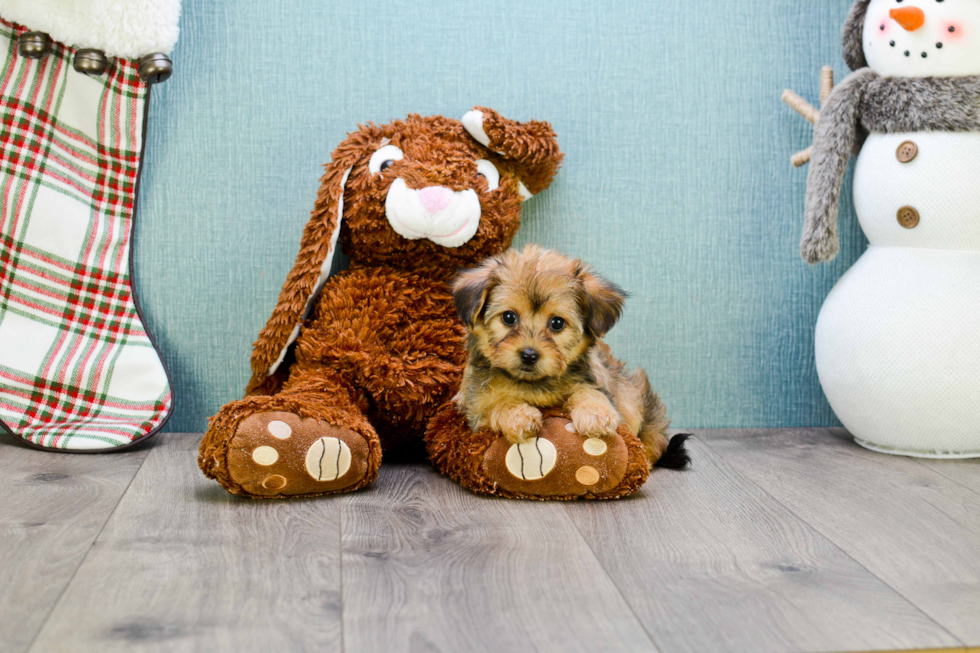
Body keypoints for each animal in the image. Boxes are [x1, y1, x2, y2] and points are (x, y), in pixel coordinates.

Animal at [452, 242, 688, 466]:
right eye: (509, 317)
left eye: (557, 323)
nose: (529, 355)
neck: (534, 383)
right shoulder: (476, 409)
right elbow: (496, 405)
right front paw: (518, 416)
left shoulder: (593, 380)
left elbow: (587, 392)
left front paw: (595, 414)